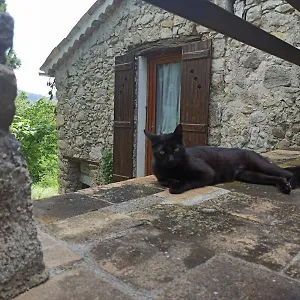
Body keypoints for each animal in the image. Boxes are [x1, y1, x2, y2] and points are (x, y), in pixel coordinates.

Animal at [143, 123, 300, 195]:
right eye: (162, 152)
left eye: (176, 149)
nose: (171, 160)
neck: (173, 169)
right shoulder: (160, 176)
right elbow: (164, 180)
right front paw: (173, 181)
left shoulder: (207, 173)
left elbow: (188, 180)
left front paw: (176, 186)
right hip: (249, 175)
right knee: (275, 178)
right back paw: (283, 186)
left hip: (261, 165)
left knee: (287, 174)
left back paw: (289, 185)